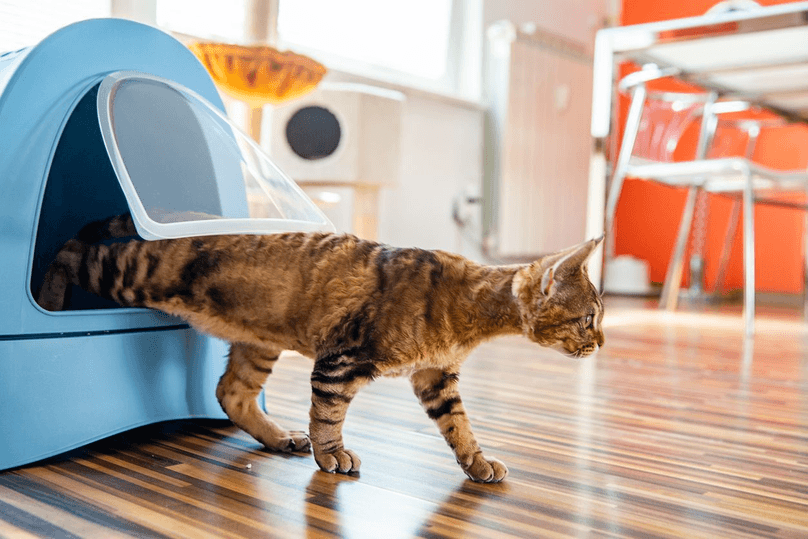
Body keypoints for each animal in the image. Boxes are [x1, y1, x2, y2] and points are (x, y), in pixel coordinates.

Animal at [39, 215, 608, 486]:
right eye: (588, 318)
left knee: (230, 393)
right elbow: (330, 414)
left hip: (258, 342)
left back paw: (277, 437)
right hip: (132, 273)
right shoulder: (342, 358)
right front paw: (331, 454)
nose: (602, 342)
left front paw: (478, 462)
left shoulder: (435, 379)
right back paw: (46, 297)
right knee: (71, 252)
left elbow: (460, 427)